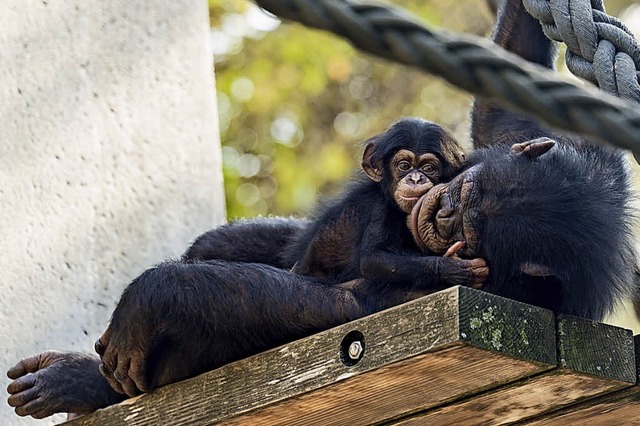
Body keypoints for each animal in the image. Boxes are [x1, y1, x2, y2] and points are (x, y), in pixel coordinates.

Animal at [5, 0, 636, 420]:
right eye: (462, 196)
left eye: (465, 226)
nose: (436, 208)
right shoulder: (553, 149)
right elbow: (502, 100)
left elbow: (334, 302)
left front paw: (145, 299)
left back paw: (80, 385)